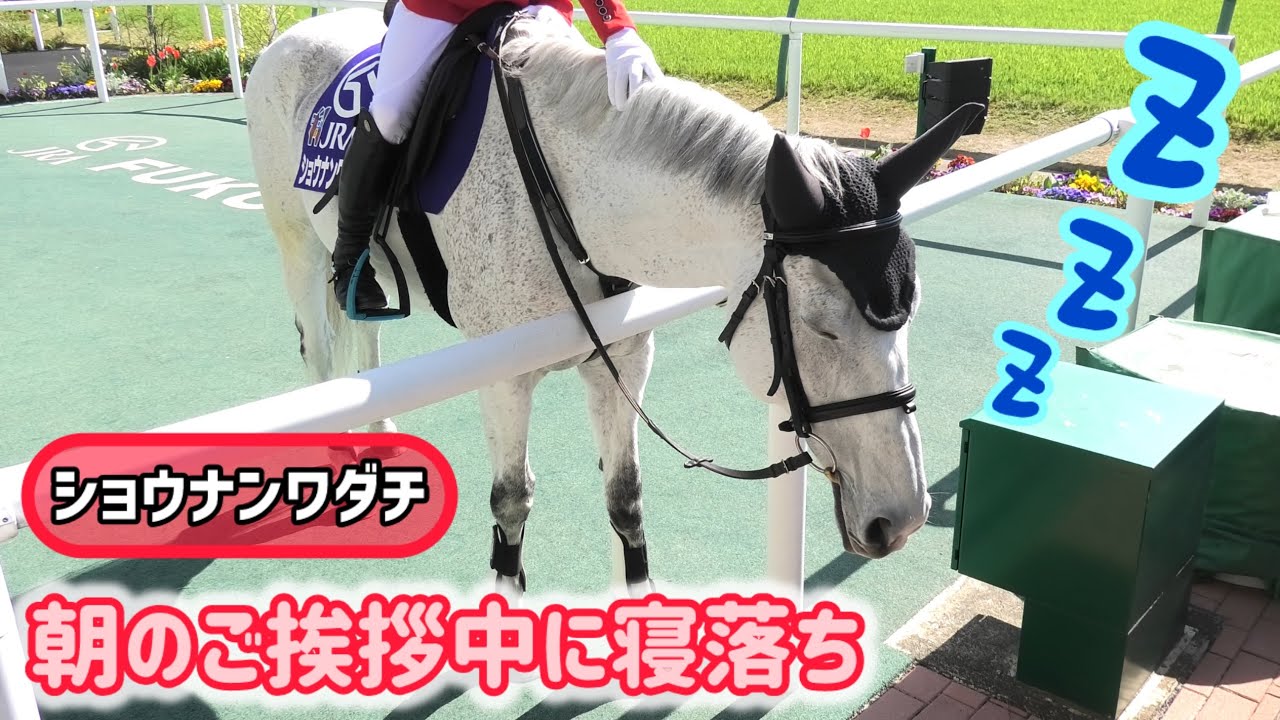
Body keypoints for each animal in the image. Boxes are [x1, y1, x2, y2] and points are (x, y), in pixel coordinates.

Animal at [243, 7, 980, 599]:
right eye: (822, 330)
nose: (903, 516)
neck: (564, 191)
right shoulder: (503, 379)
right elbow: (511, 502)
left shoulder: (622, 357)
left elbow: (625, 497)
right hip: (294, 242)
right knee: (318, 345)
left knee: (362, 332)